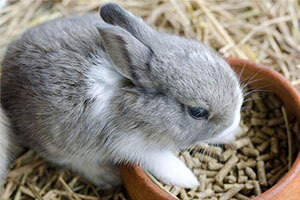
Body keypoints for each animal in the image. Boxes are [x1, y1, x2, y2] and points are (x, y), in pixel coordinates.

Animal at [0, 2, 243, 188]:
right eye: (198, 112)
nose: (234, 121)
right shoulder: (132, 145)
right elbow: (162, 161)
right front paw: (189, 180)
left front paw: (230, 134)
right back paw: (108, 176)